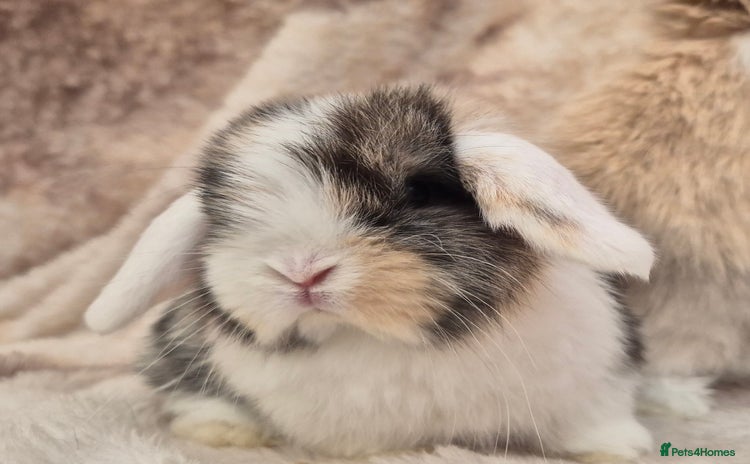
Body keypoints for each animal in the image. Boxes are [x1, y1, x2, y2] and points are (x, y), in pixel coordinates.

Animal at [86, 86, 655, 461]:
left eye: (419, 191)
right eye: (225, 216)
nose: (300, 271)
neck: (380, 341)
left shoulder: (594, 380)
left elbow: (597, 421)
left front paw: (622, 449)